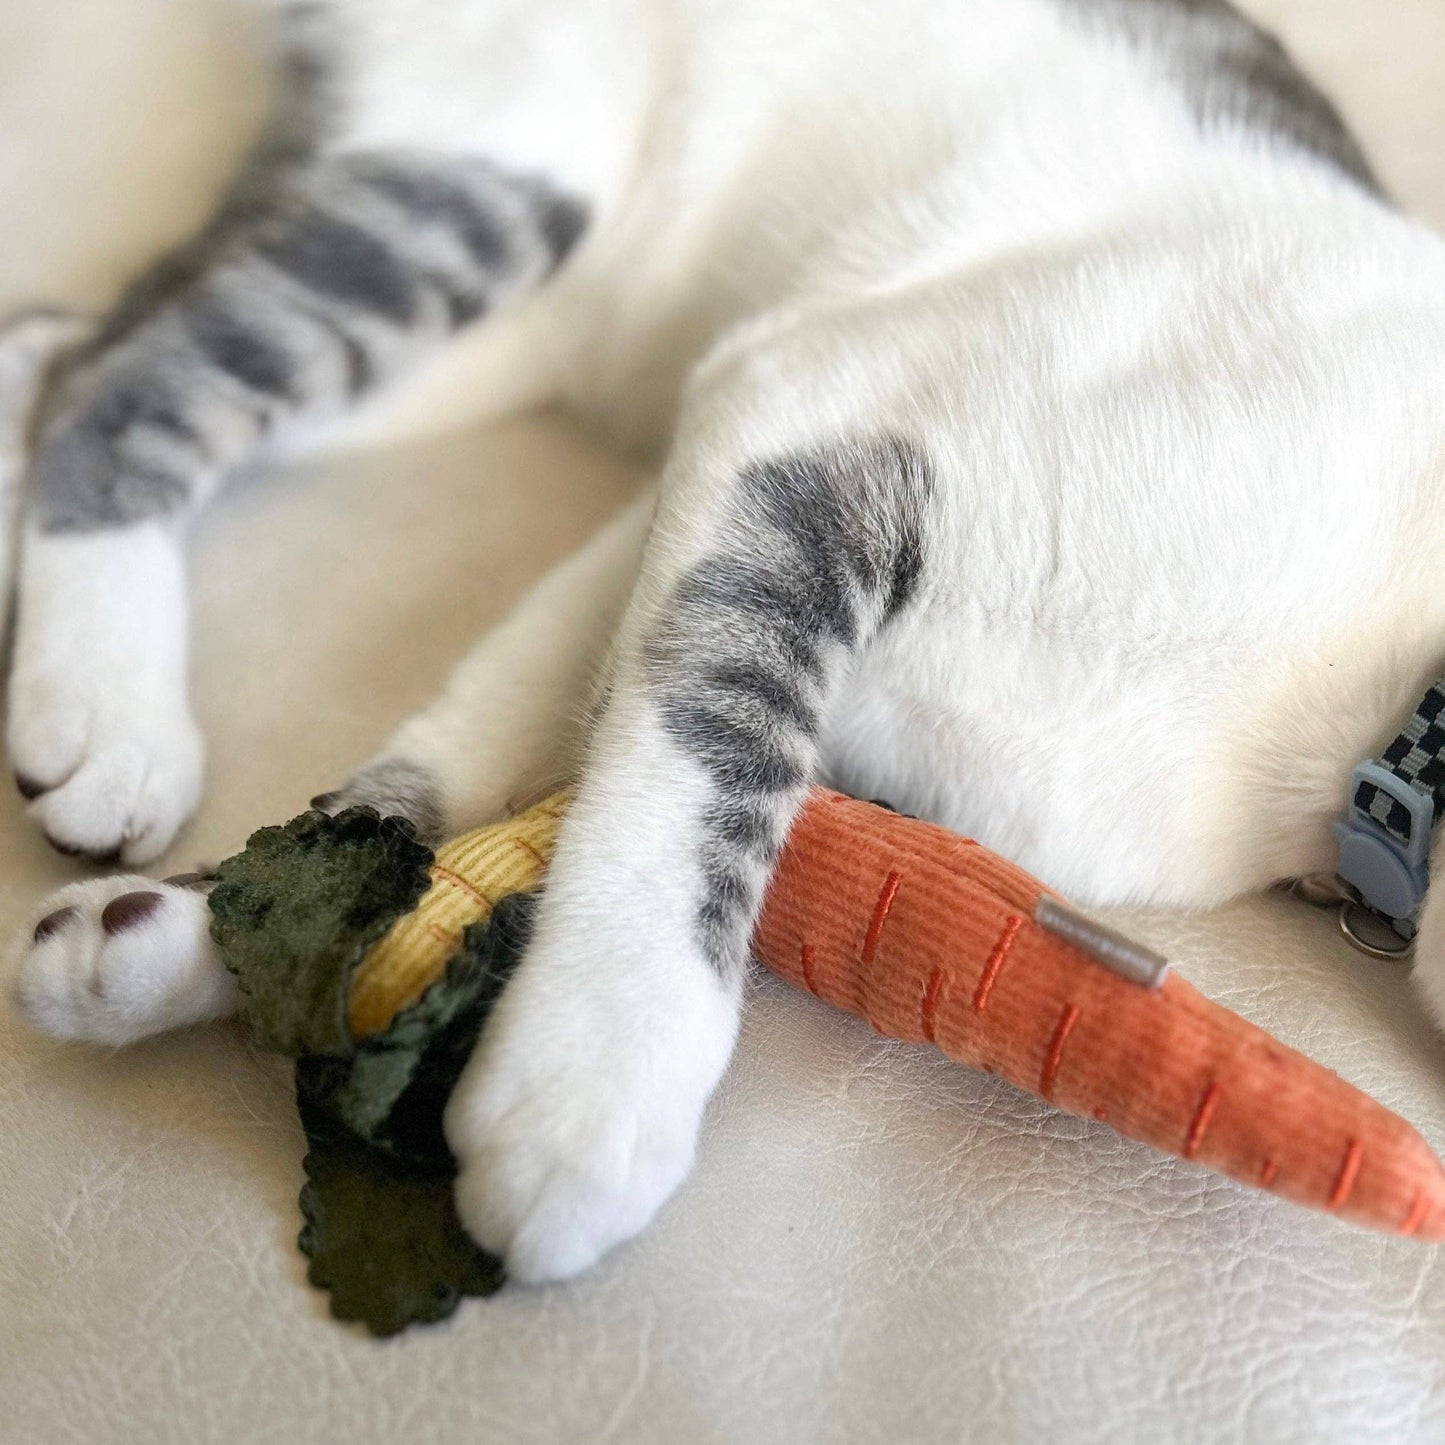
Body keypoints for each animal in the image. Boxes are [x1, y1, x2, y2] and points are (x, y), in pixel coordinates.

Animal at [2, 2, 1445, 1288]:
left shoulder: (695, 491)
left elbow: (519, 718)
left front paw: (213, 932)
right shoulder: (817, 398)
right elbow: (707, 755)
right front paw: (596, 1072)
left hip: (514, 333)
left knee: (97, 328)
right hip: (507, 183)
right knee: (125, 385)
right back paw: (107, 706)